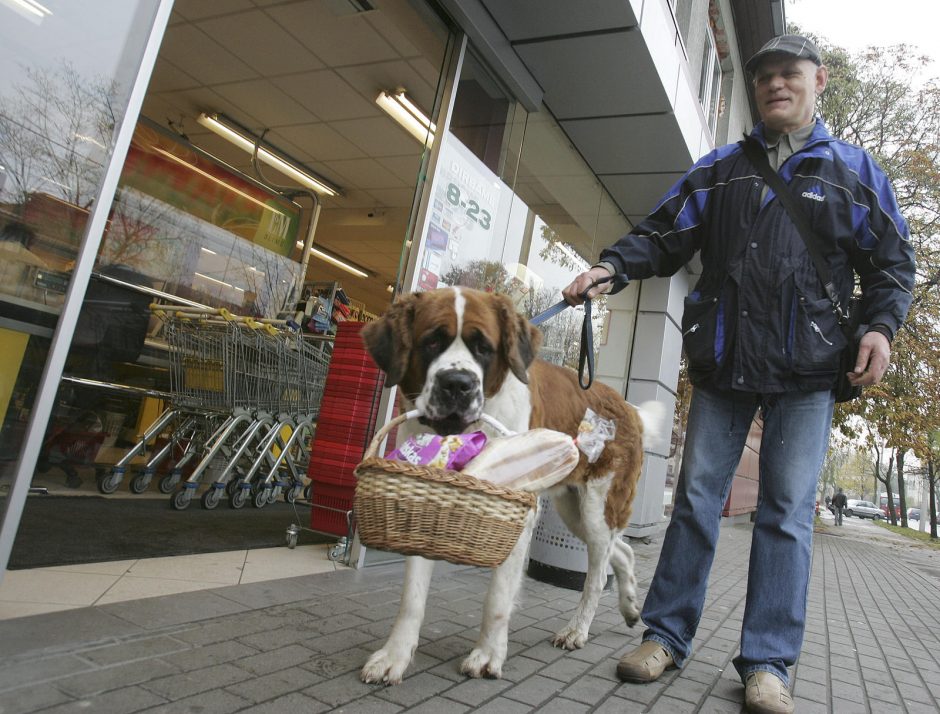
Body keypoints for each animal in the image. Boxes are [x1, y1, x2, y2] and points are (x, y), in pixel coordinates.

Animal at [358, 286, 660, 684]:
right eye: (432, 342)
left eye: (483, 347)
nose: (458, 384)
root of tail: (628, 408)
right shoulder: (427, 498)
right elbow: (411, 596)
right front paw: (394, 655)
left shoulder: (517, 512)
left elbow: (498, 597)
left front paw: (488, 655)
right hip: (573, 511)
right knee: (621, 551)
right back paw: (629, 608)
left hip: (596, 509)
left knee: (597, 573)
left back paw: (577, 629)